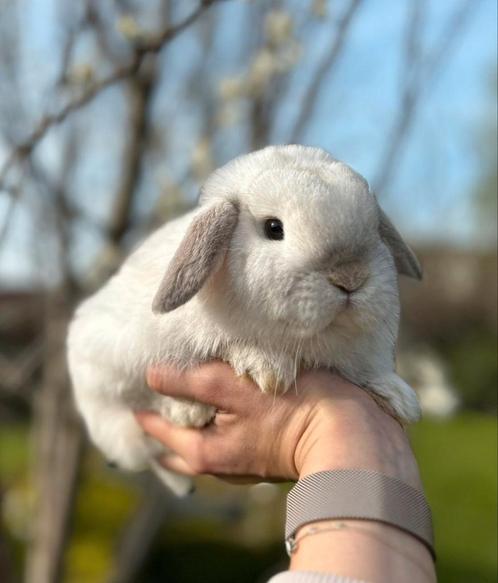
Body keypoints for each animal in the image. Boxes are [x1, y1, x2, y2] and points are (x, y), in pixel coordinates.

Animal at [68, 144, 422, 496]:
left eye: (374, 230)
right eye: (273, 228)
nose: (350, 277)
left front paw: (400, 397)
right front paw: (267, 367)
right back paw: (188, 414)